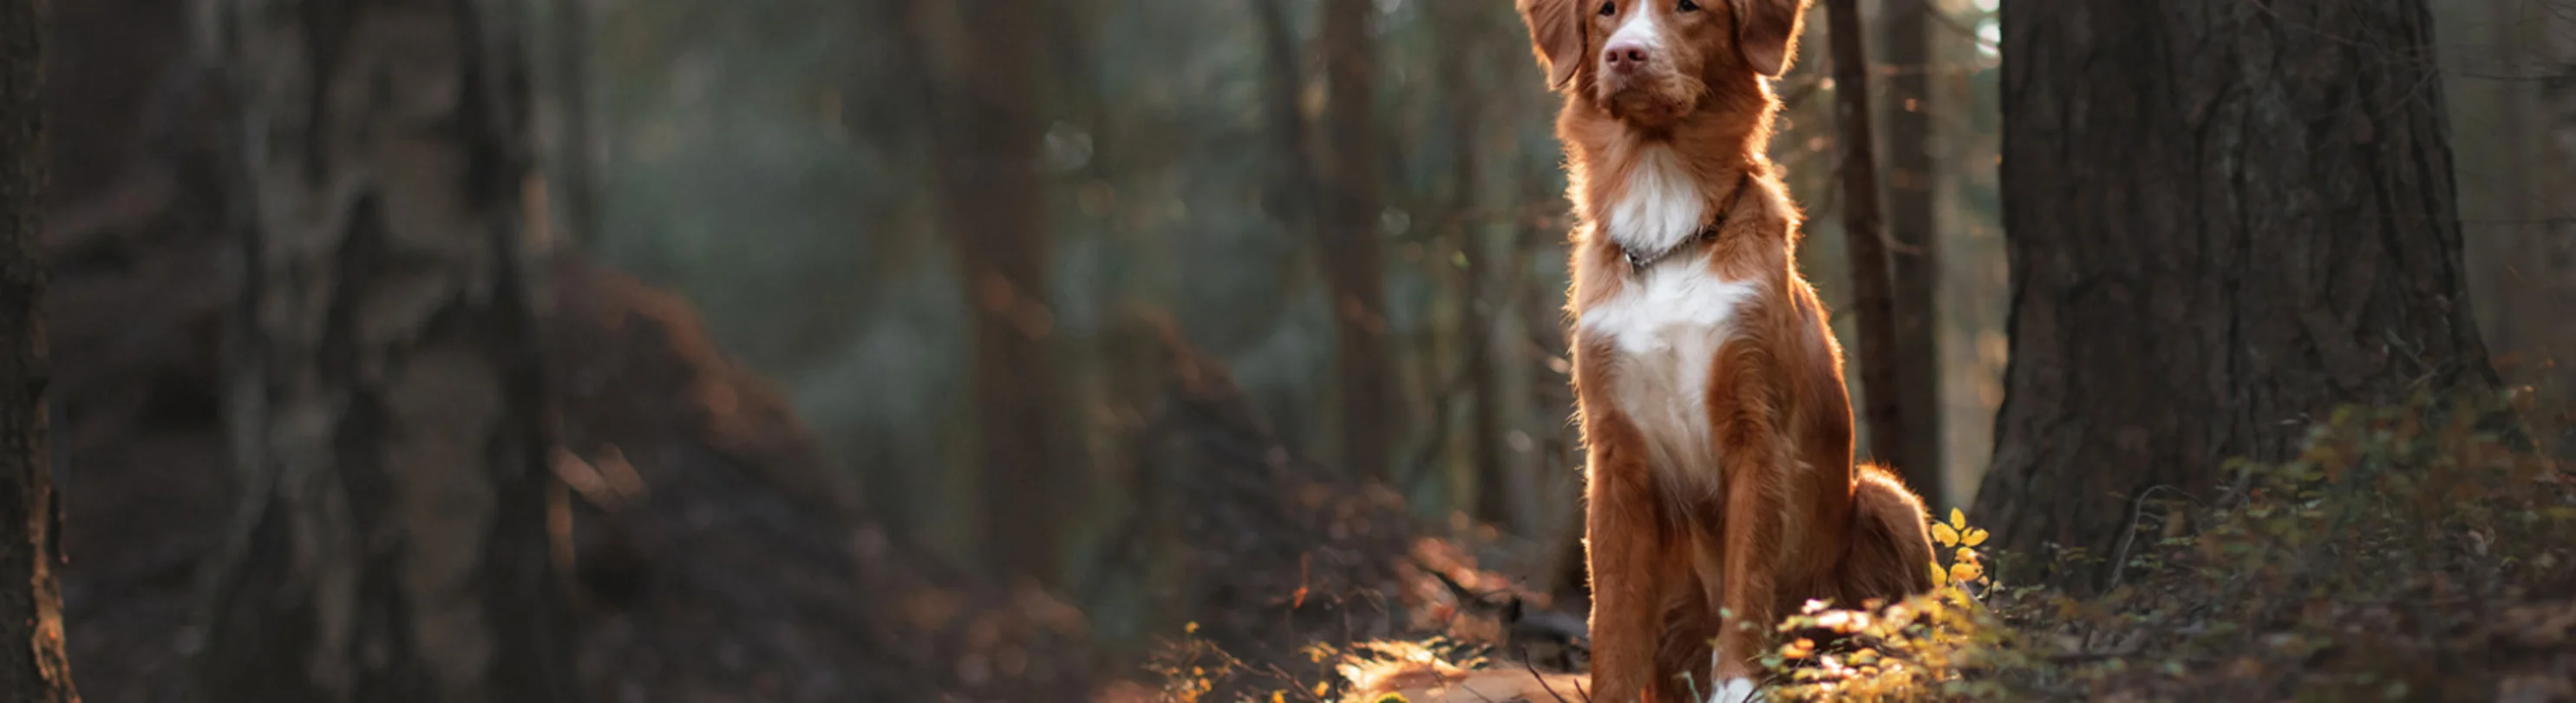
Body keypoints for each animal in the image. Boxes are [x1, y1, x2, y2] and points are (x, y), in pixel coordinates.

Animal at [1504, 1, 1937, 700]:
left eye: (1688, 7)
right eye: (1605, 12)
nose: (1625, 55)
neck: (1666, 233)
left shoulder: (1756, 432)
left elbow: (1748, 580)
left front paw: (1739, 684)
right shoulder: (1615, 454)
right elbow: (1612, 613)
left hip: (1886, 497)